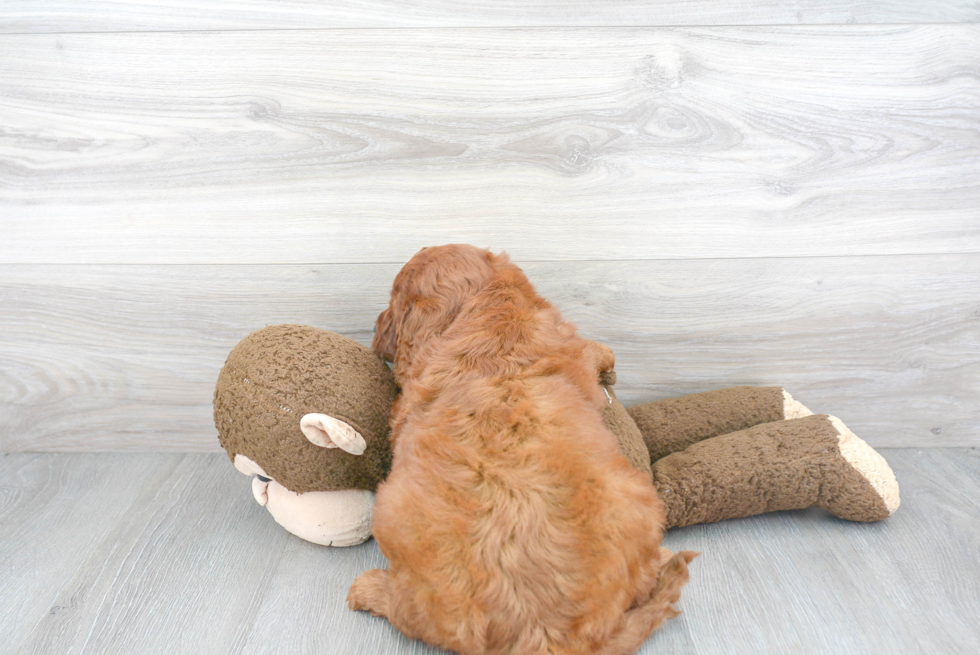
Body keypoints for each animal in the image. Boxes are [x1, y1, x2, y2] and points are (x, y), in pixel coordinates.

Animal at [348, 245, 692, 655]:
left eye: (393, 301)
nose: (375, 327)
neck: (488, 311)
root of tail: (544, 632)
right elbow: (594, 351)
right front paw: (608, 361)